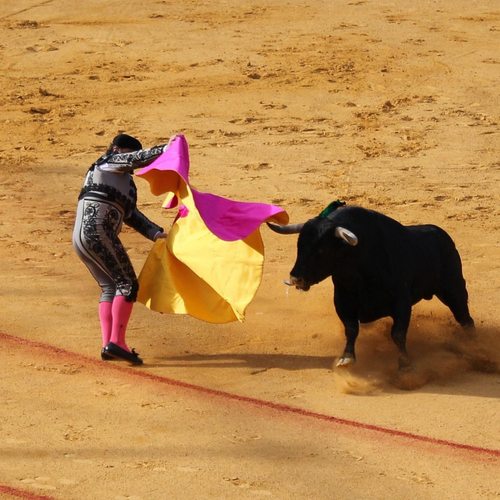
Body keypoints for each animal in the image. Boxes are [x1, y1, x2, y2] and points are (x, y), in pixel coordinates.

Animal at [268, 204, 474, 372]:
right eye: (299, 245)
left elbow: (398, 333)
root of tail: (445, 238)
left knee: (465, 318)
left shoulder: (401, 302)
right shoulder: (342, 301)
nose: (296, 278)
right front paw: (346, 358)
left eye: (322, 249)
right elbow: (351, 329)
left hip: (454, 289)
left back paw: (473, 344)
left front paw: (405, 363)